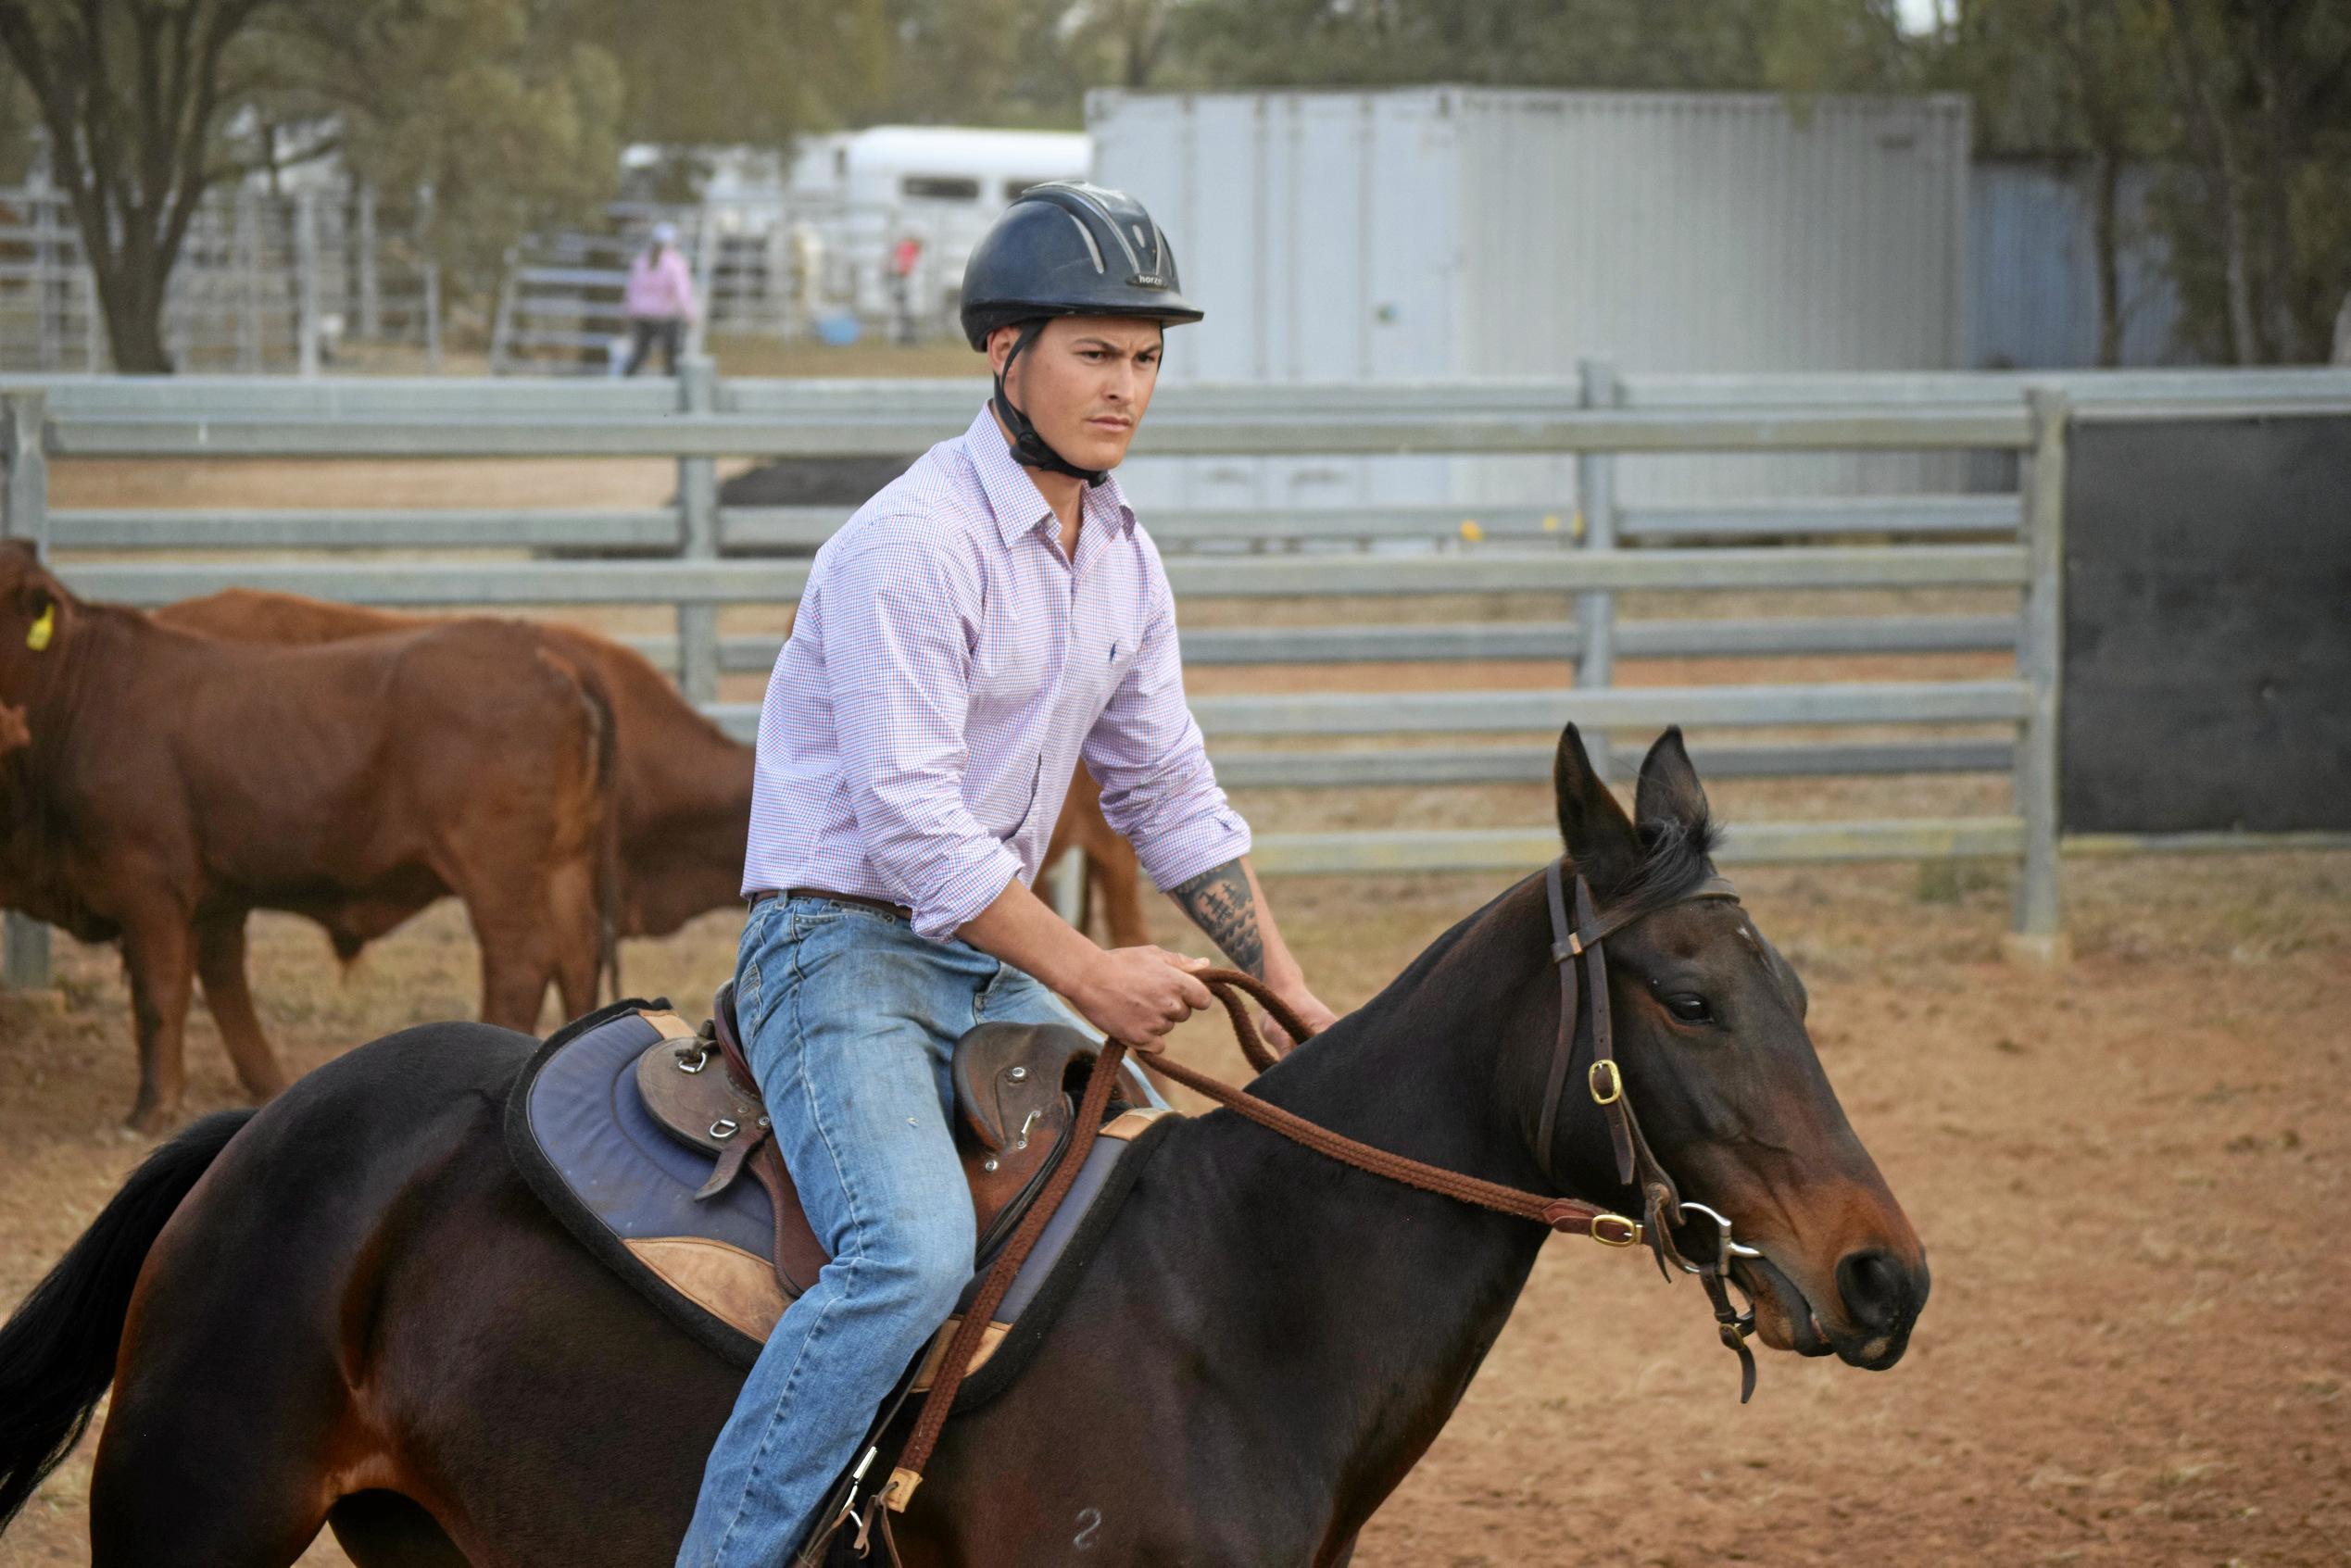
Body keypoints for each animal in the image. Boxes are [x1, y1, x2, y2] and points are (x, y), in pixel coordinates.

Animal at [0, 545, 615, 1133]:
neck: (81, 690)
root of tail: (549, 656)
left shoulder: (149, 887)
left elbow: (159, 997)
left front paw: (151, 1108)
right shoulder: (212, 896)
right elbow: (221, 982)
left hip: (496, 873)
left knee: (521, 962)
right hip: (562, 867)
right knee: (577, 955)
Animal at [0, 728, 1928, 1561]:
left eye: (1794, 986)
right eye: (1687, 996)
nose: (1882, 1275)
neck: (1232, 1316)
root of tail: (266, 1129)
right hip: (195, 1523)